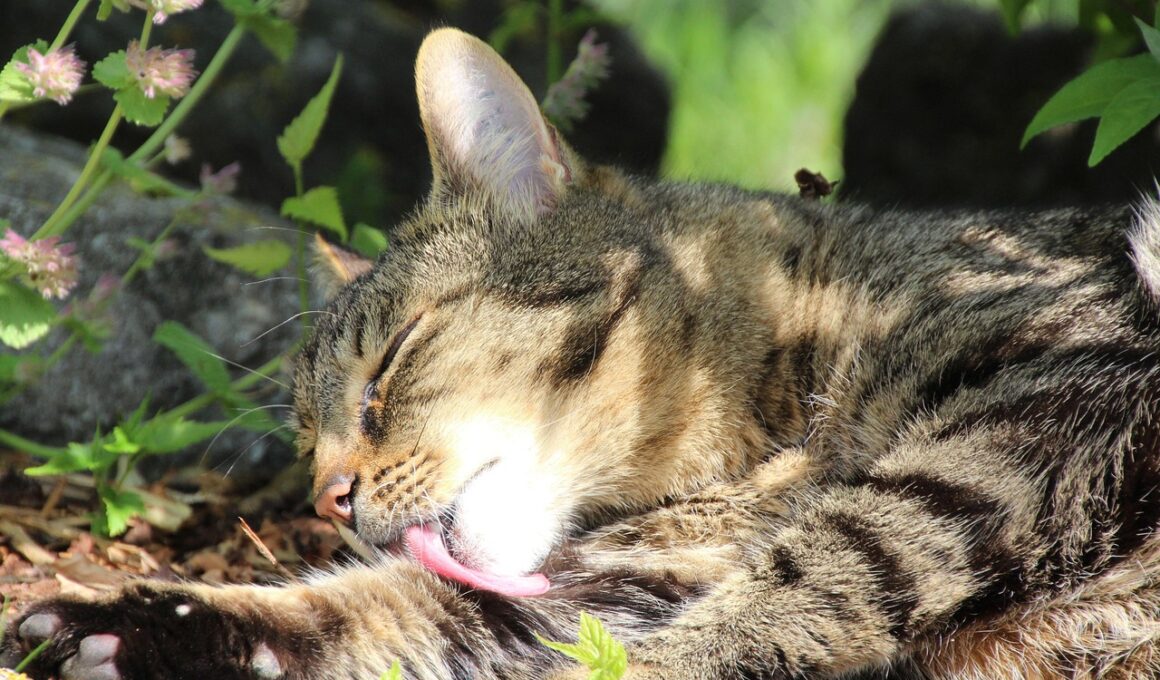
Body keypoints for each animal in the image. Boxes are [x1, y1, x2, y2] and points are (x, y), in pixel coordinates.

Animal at [5, 26, 1160, 680]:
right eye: (303, 438)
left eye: (391, 362)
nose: (328, 495)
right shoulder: (609, 588)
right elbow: (364, 608)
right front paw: (123, 621)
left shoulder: (1037, 402)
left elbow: (823, 565)